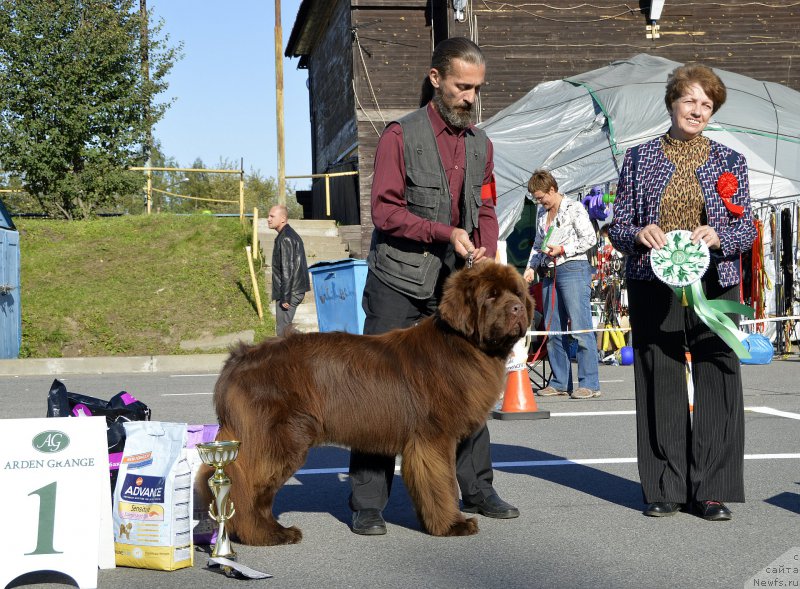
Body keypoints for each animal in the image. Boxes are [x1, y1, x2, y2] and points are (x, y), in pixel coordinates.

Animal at [206, 260, 532, 544]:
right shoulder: (434, 438)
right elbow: (443, 483)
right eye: (491, 295)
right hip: (280, 438)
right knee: (249, 487)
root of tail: (238, 359)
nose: (518, 308)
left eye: (516, 293)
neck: (462, 345)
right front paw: (452, 525)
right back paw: (268, 534)